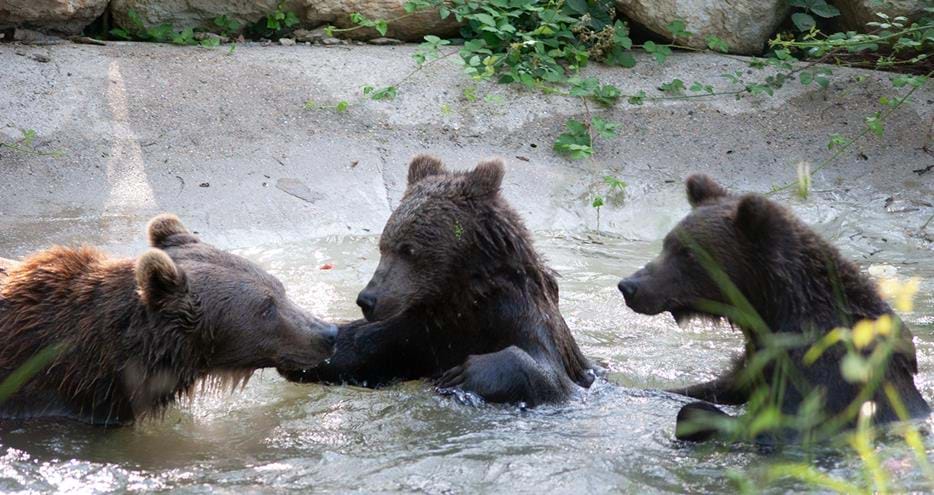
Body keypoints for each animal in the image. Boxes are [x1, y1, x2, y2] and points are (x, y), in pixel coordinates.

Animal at [279, 155, 596, 407]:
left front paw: (463, 373)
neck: (461, 298)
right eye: (383, 246)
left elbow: (548, 374)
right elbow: (356, 346)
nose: (367, 299)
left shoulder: (516, 314)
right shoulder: (419, 329)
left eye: (408, 249)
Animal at [618, 175, 930, 442]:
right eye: (667, 244)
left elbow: (787, 427)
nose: (629, 286)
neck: (772, 309)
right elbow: (721, 384)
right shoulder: (760, 357)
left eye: (689, 253)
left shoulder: (826, 371)